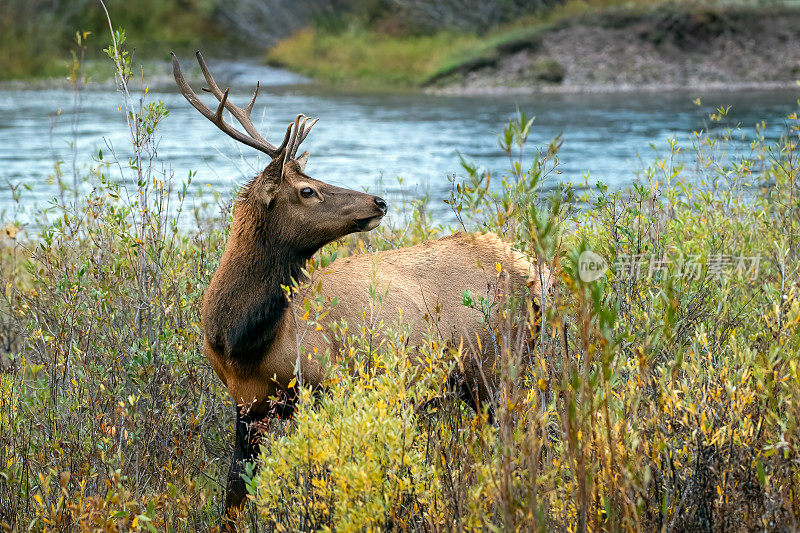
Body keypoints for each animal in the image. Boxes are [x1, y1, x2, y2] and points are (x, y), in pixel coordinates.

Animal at [170, 51, 552, 520]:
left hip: (498, 363)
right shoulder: (245, 405)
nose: (379, 201)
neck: (240, 340)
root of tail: (534, 270)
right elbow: (234, 490)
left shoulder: (323, 385)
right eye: (307, 189)